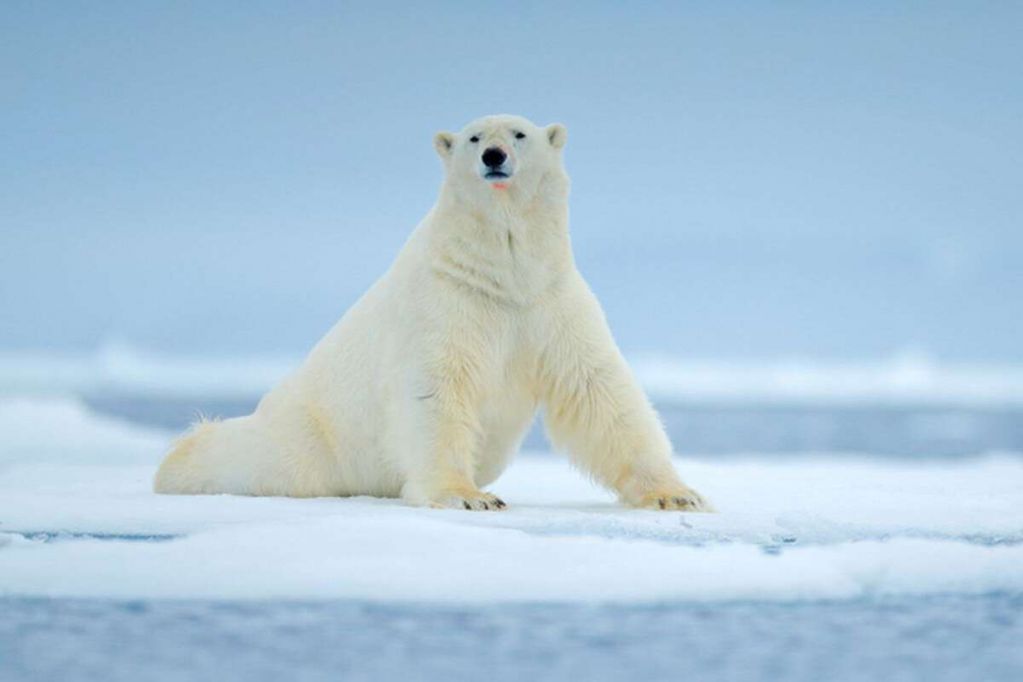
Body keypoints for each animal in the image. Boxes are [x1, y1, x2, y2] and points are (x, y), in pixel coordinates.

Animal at [154, 114, 712, 512]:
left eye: (520, 133)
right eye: (472, 137)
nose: (493, 155)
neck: (502, 273)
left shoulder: (550, 301)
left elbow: (598, 389)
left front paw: (676, 494)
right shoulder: (446, 302)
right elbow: (437, 388)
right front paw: (469, 496)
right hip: (312, 435)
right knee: (254, 456)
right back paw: (178, 458)